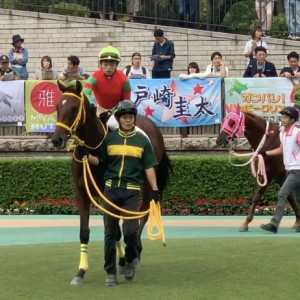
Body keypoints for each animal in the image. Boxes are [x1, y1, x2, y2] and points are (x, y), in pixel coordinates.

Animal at [52, 80, 171, 286]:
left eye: (74, 108)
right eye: (58, 106)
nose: (57, 139)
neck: (92, 148)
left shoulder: (105, 194)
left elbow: (115, 230)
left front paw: (123, 261)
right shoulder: (82, 193)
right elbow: (85, 231)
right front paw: (80, 272)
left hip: (149, 182)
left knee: (144, 211)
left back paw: (135, 252)